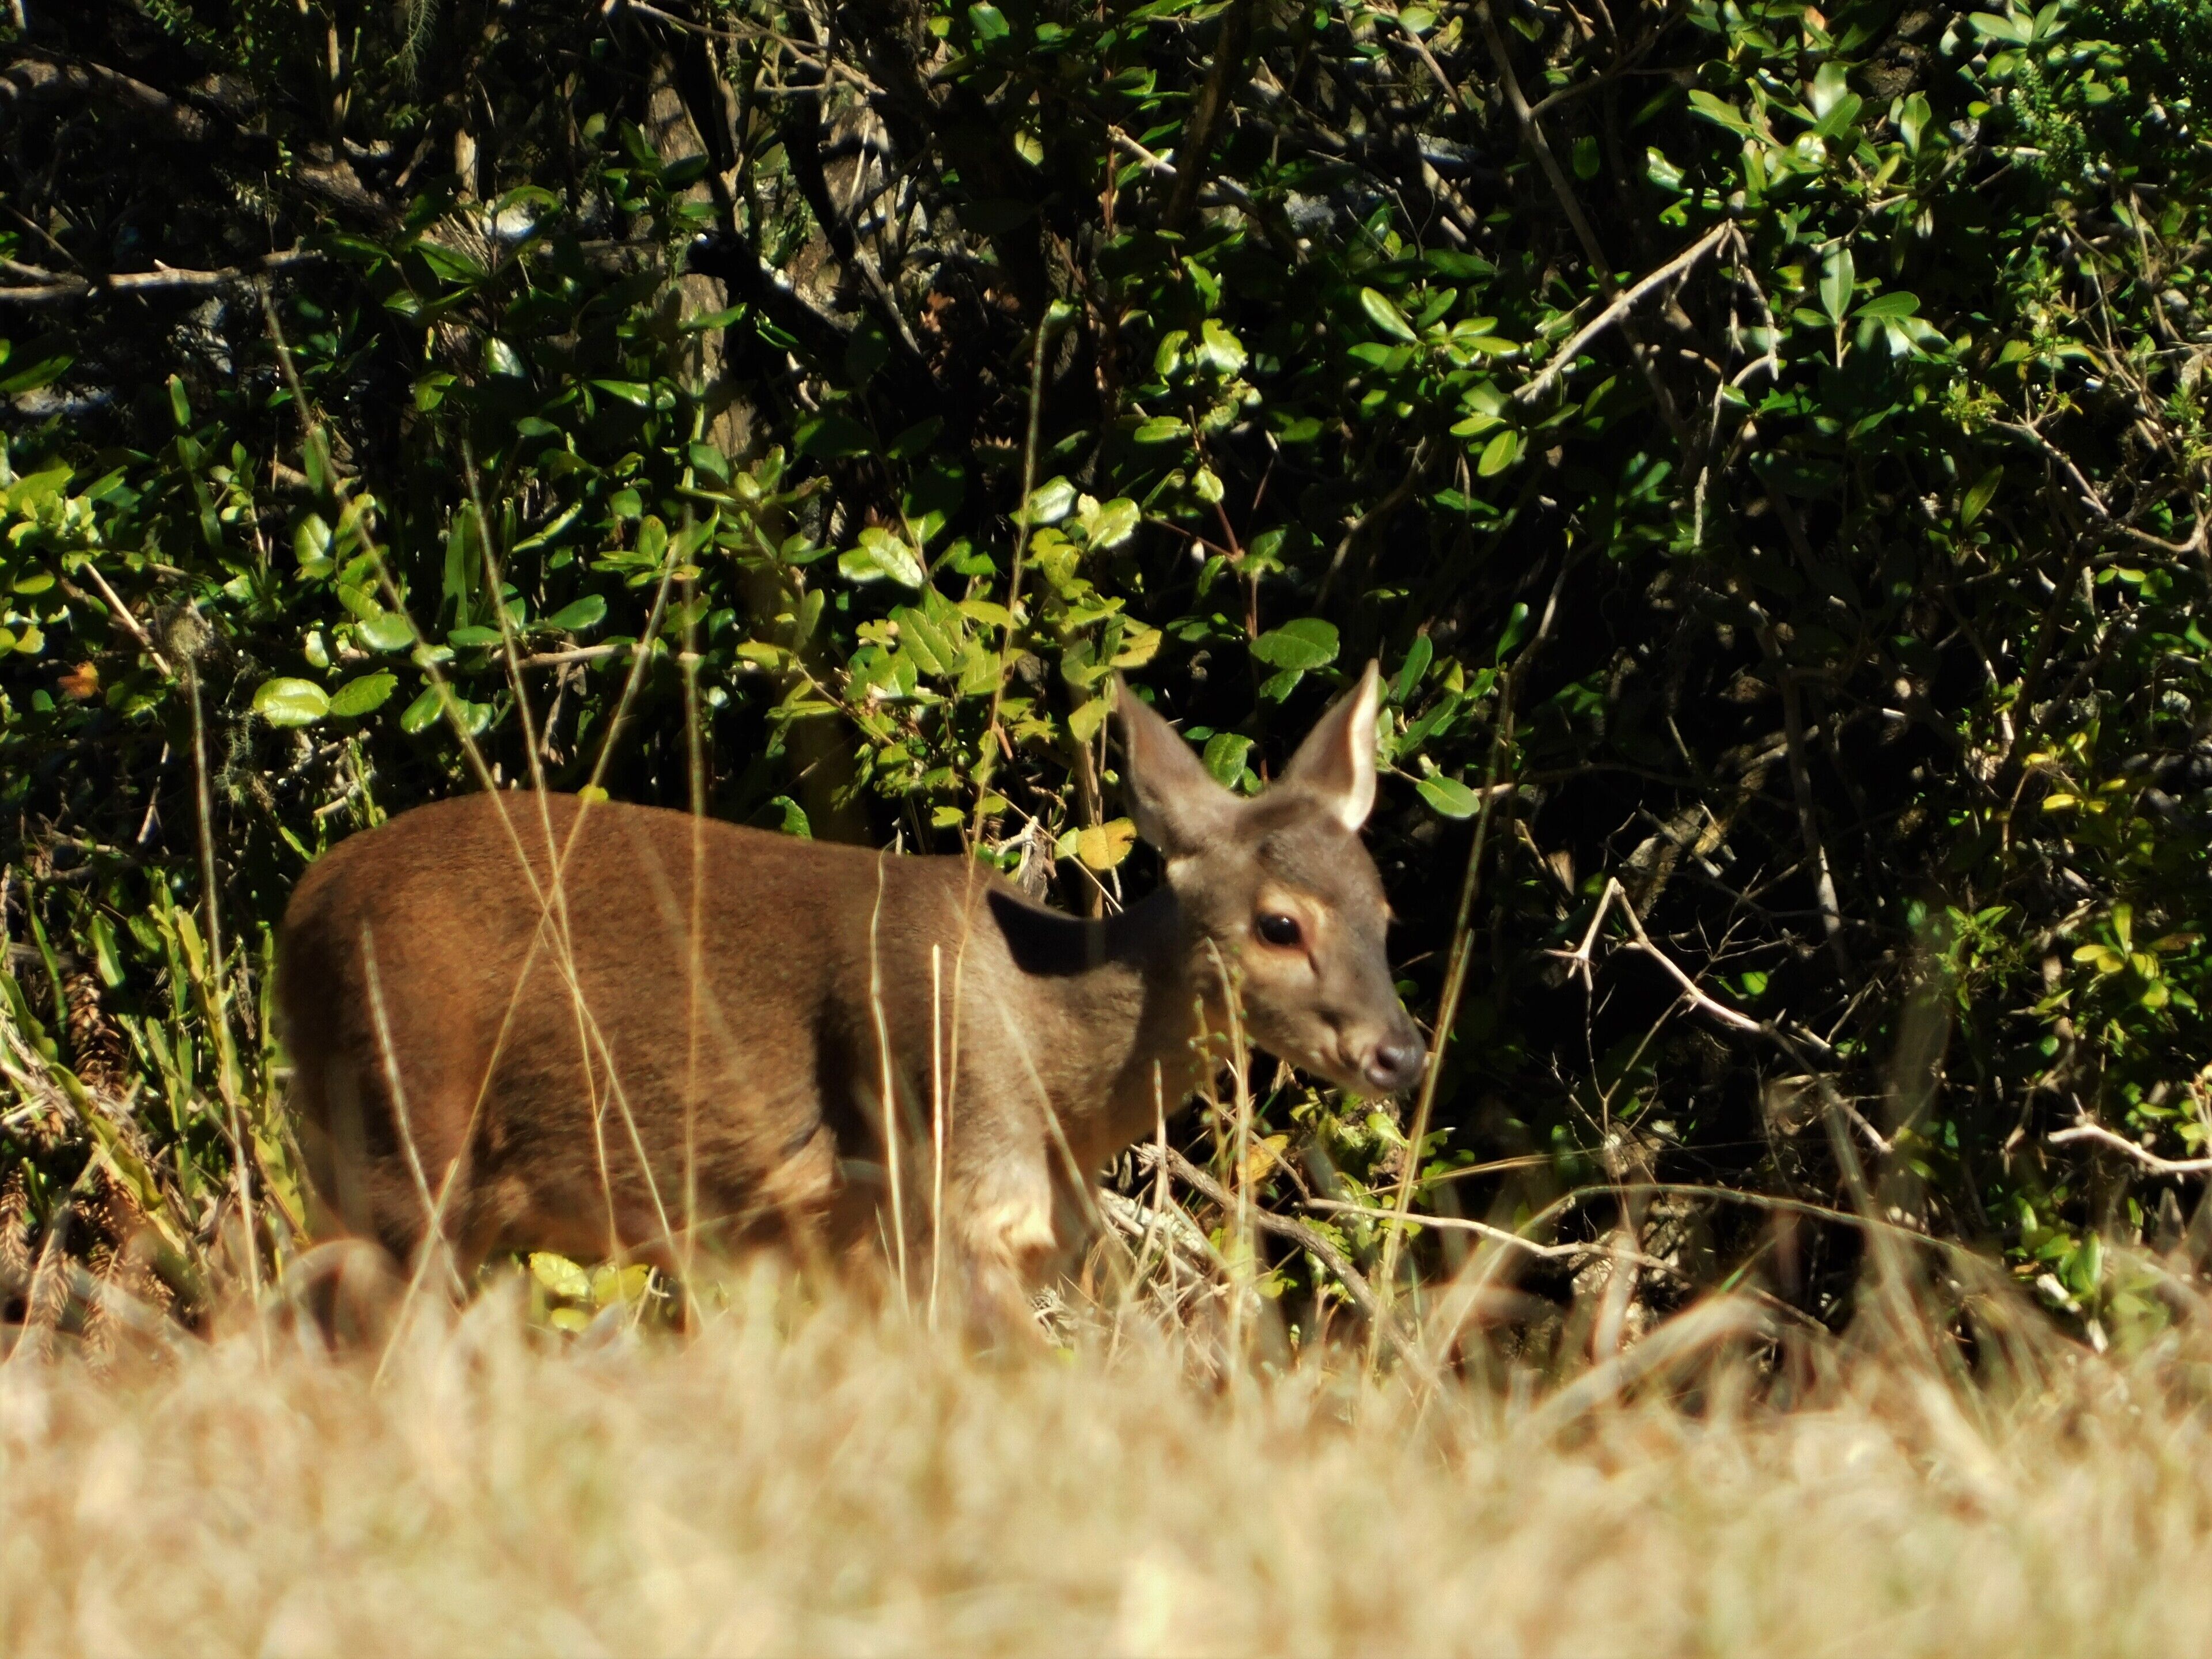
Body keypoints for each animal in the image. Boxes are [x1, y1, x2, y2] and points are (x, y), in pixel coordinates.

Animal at [276, 661, 1425, 1321]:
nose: (1401, 1050)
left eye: (1384, 910)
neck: (1052, 1070)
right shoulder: (945, 1181)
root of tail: (300, 908)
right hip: (403, 1130)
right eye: (1280, 923)